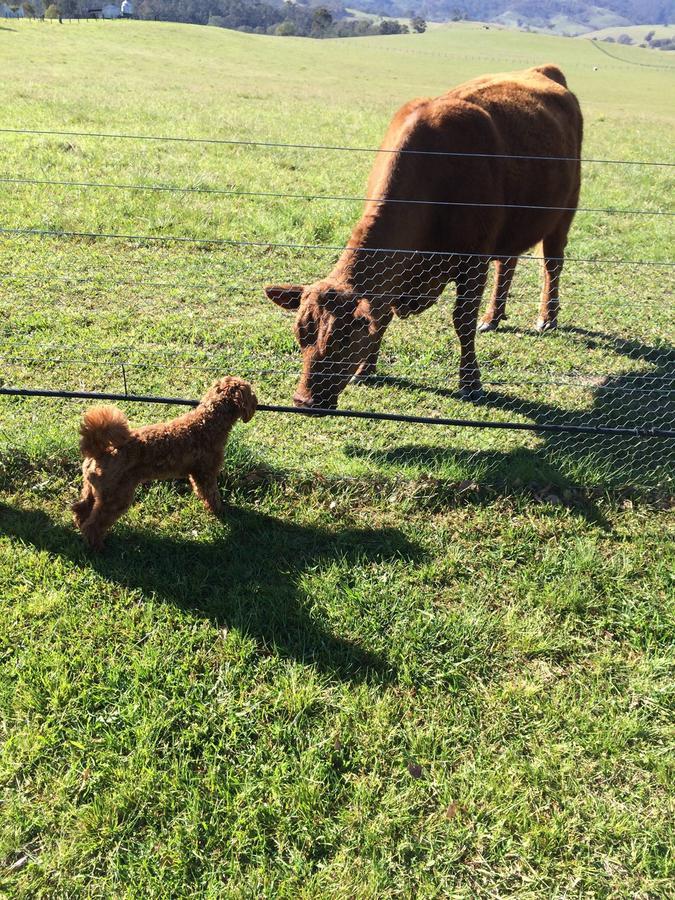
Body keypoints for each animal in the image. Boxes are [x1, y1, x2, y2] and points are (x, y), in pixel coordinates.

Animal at [71, 374, 256, 548]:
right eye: (250, 391)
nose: (256, 401)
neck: (208, 423)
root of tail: (99, 451)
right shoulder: (206, 474)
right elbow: (212, 495)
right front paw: (220, 512)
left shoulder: (195, 474)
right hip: (116, 496)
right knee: (93, 525)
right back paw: (98, 547)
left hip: (93, 490)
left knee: (80, 510)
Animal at [266, 65, 584, 410]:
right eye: (301, 334)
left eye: (344, 338)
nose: (304, 400)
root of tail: (542, 70)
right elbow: (383, 316)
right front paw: (366, 369)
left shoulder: (473, 263)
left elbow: (462, 322)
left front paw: (470, 381)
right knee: (507, 264)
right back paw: (493, 317)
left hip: (564, 213)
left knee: (551, 265)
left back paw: (547, 318)